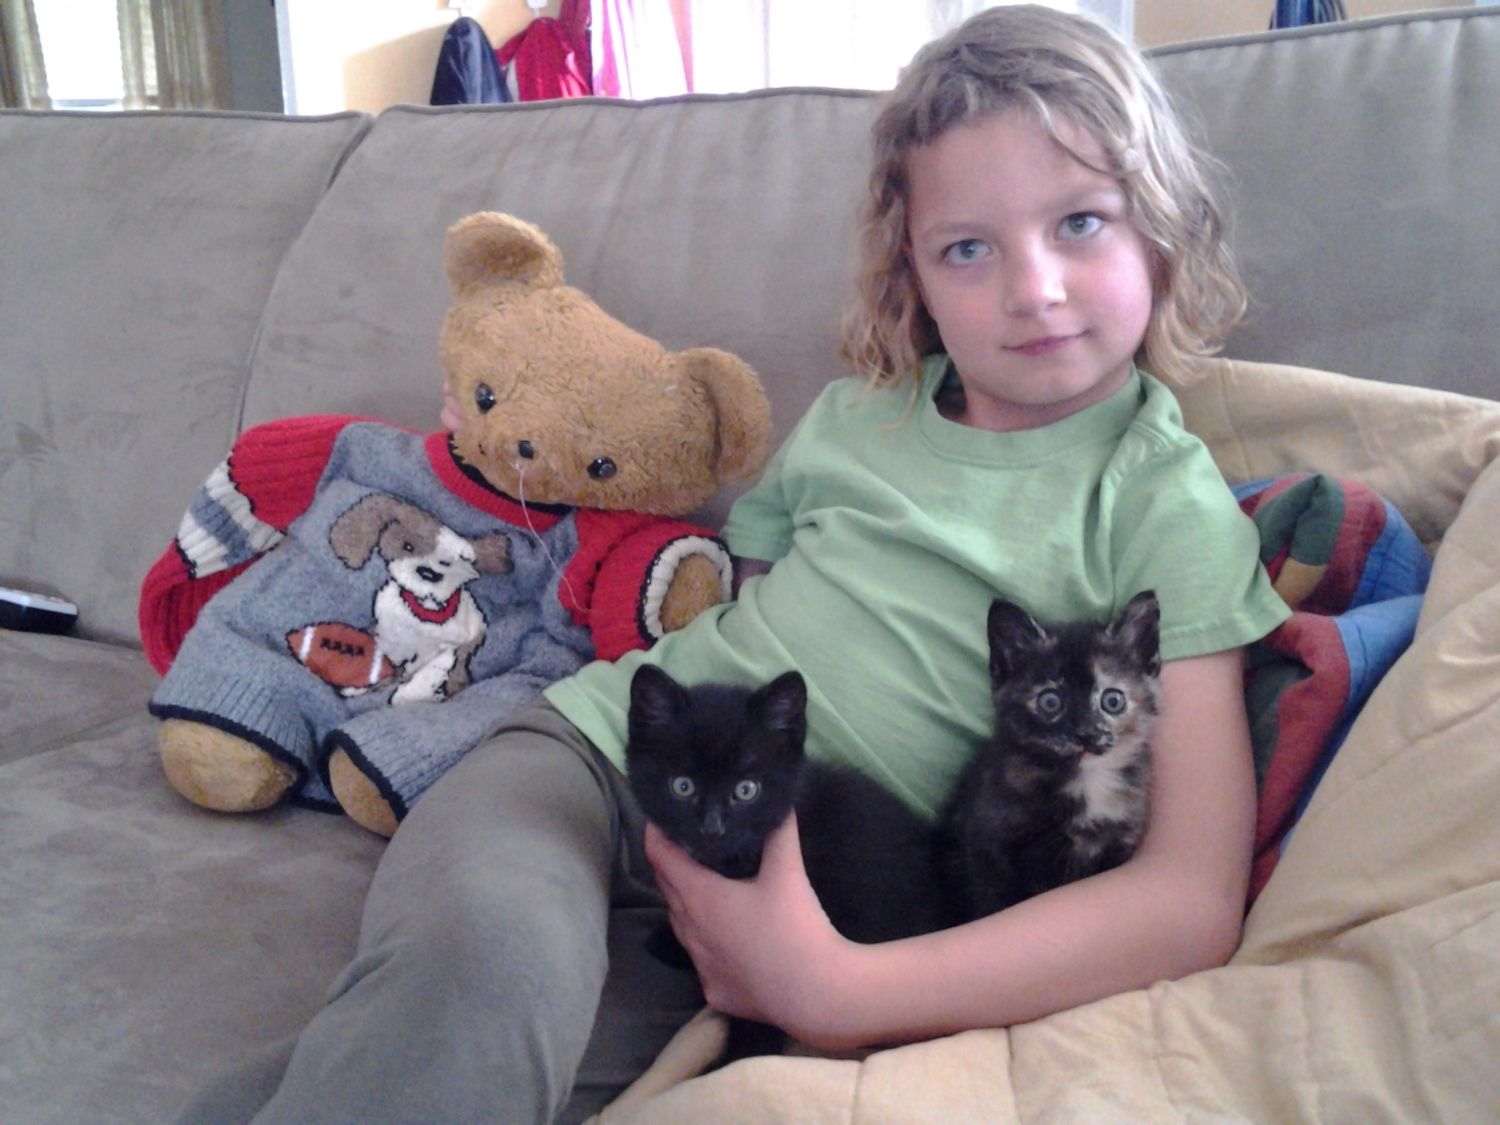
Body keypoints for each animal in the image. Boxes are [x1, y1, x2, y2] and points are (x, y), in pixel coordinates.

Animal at [939, 590, 1160, 923]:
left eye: (1113, 700)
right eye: (1050, 701)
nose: (1085, 734)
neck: (1086, 781)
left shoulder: (1119, 843)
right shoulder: (986, 846)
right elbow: (994, 903)